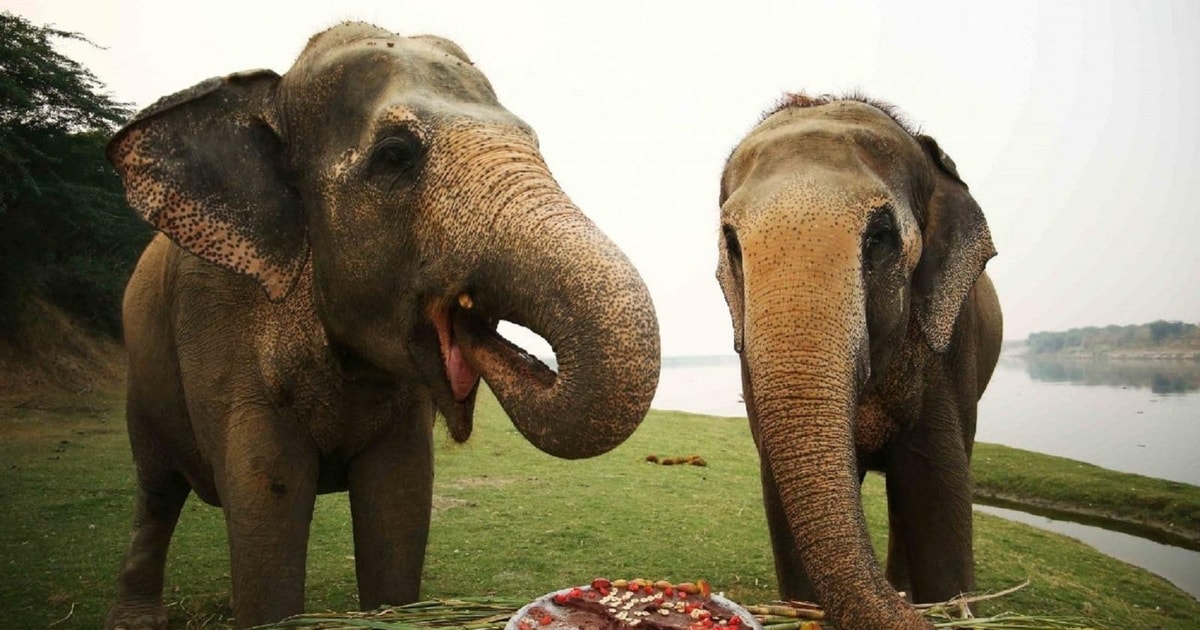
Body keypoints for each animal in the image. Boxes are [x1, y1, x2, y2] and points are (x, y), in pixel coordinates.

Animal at [103, 22, 662, 624]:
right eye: (395, 155)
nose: (519, 353)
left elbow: (399, 500)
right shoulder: (218, 318)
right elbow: (266, 502)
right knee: (155, 490)